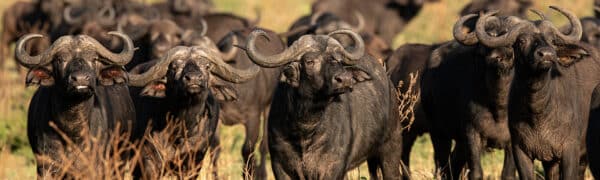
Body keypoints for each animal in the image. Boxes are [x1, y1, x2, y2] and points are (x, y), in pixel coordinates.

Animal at [246, 29, 406, 179]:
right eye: (310, 61)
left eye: (339, 61)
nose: (345, 79)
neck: (305, 130)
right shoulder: (280, 166)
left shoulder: (333, 167)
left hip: (392, 148)